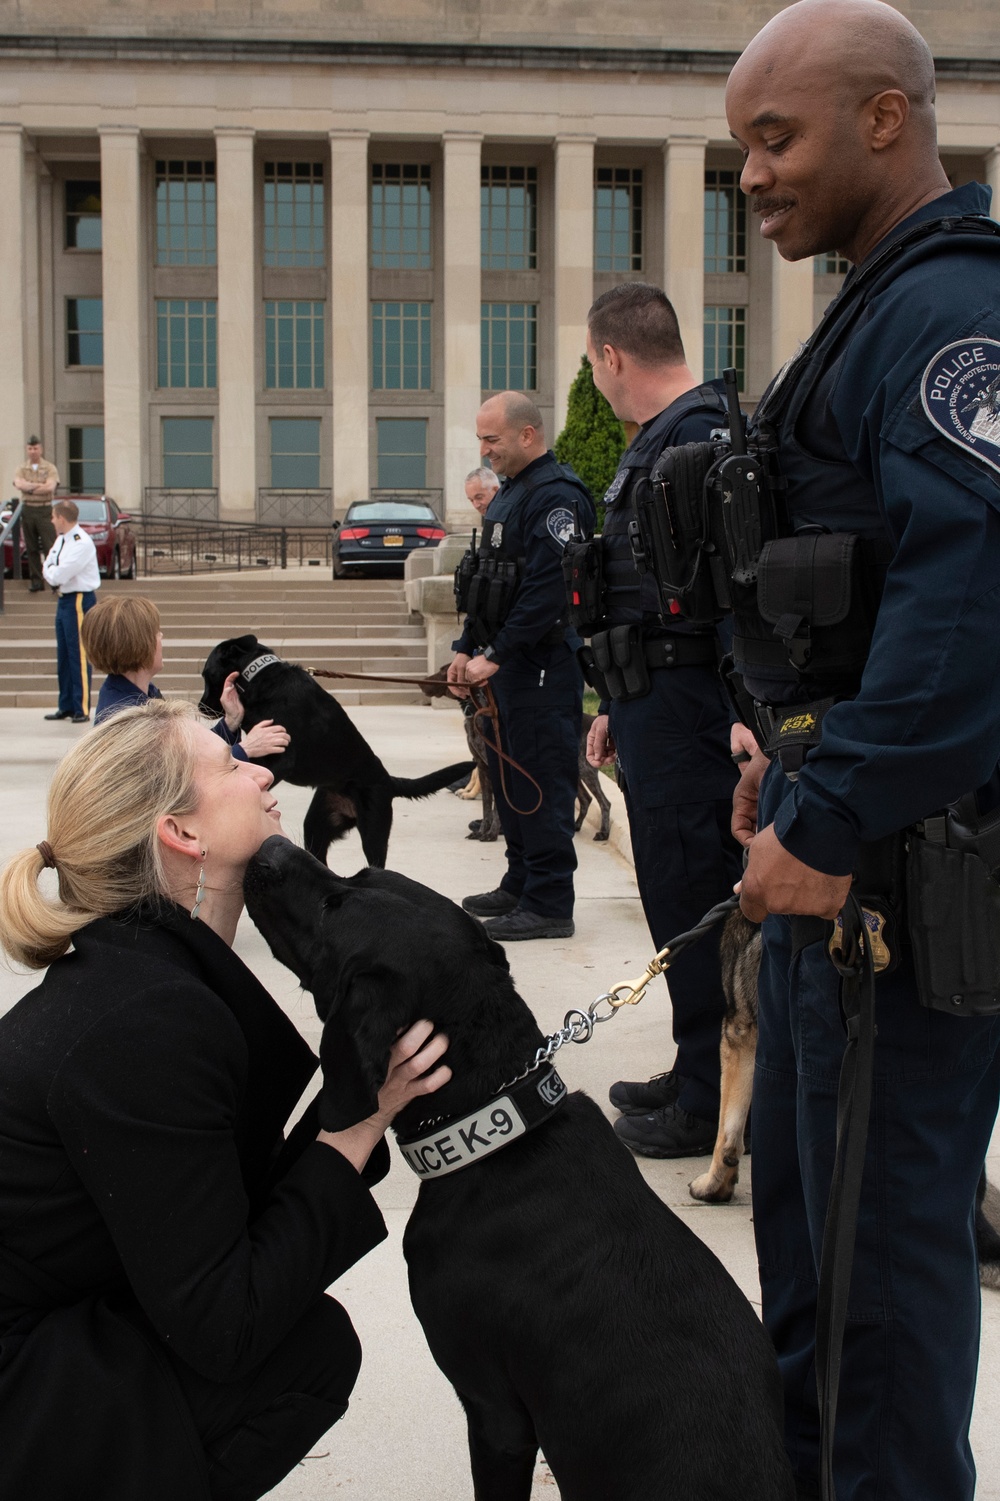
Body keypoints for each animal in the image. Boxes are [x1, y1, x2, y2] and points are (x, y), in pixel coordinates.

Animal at [201, 633, 474, 870]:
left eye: (205, 675)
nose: (201, 707)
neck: (260, 677)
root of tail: (387, 779)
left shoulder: (282, 757)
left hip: (373, 829)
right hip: (318, 824)